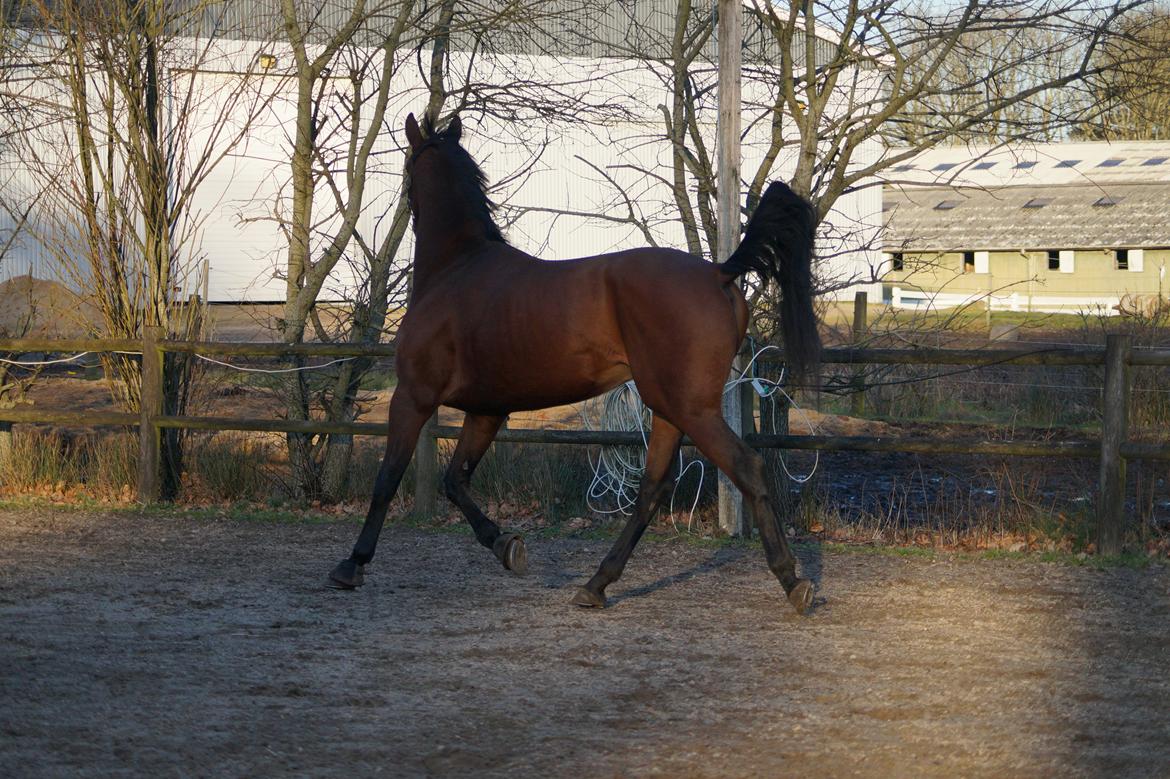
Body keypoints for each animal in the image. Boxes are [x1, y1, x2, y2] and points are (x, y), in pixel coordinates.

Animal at [327, 112, 823, 612]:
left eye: (408, 168)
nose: (402, 200)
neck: (455, 268)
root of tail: (719, 272)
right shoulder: (487, 411)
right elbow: (455, 480)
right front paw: (506, 546)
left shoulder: (414, 397)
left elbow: (388, 478)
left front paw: (352, 564)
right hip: (668, 407)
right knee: (651, 489)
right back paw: (596, 584)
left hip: (691, 408)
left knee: (746, 468)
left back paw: (791, 580)